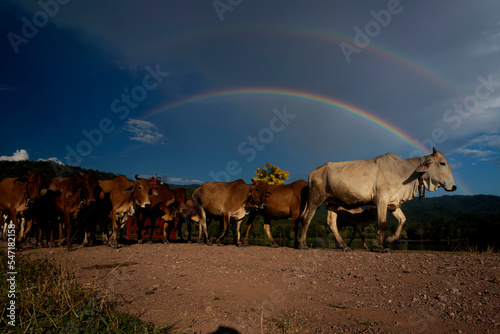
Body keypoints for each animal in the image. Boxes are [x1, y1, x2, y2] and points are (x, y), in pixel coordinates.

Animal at [300, 147, 458, 252]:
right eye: (442, 163)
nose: (454, 186)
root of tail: (314, 171)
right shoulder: (381, 199)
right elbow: (382, 223)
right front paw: (384, 247)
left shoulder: (393, 203)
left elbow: (403, 221)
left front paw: (388, 240)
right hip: (315, 198)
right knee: (307, 218)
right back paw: (302, 244)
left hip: (332, 202)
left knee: (331, 223)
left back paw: (344, 246)